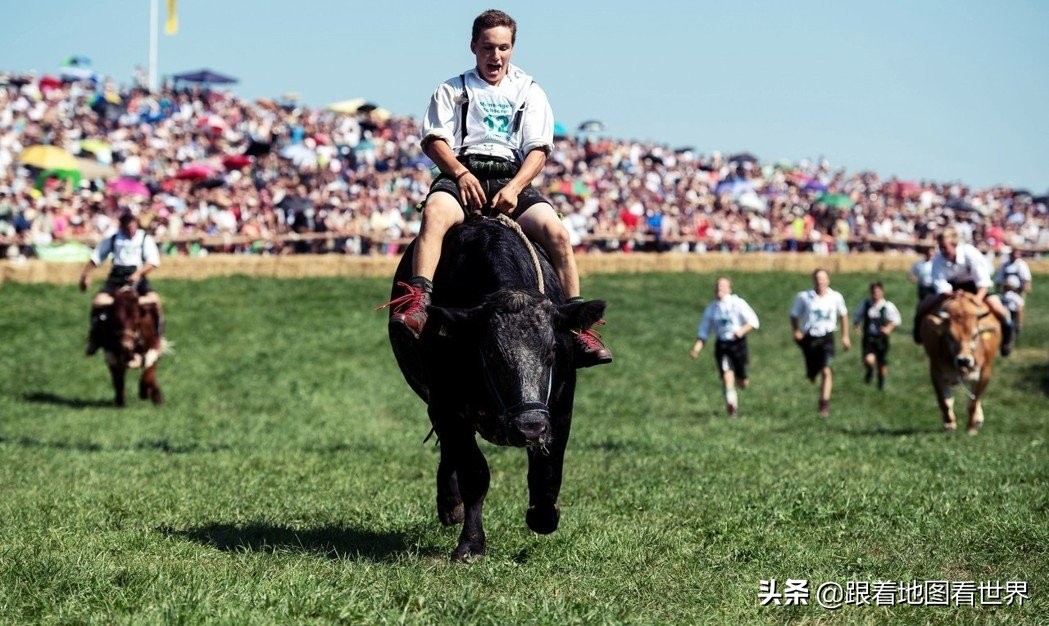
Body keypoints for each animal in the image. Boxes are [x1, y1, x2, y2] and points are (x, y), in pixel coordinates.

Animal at [388, 217, 608, 557]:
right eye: (491, 354)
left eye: (552, 352)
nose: (529, 427)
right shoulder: (448, 406)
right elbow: (474, 473)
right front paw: (470, 543)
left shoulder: (560, 406)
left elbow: (549, 465)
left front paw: (544, 514)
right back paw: (450, 504)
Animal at [923, 291, 1002, 432]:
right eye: (950, 335)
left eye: (975, 335)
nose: (964, 360)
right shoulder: (936, 372)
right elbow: (945, 401)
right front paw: (950, 424)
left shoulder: (984, 373)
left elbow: (973, 403)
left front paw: (971, 428)